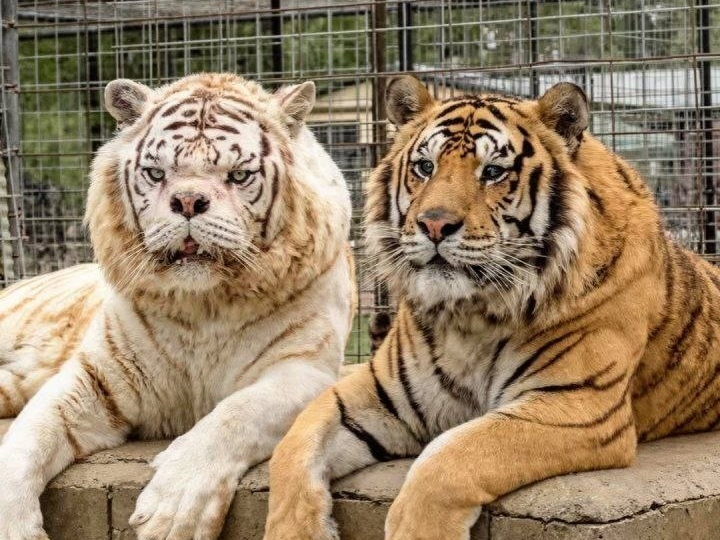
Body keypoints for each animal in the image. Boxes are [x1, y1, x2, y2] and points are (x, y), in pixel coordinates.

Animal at [0, 72, 354, 540]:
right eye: (156, 173)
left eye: (238, 175)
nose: (187, 201)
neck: (203, 306)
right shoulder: (94, 377)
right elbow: (26, 438)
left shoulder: (304, 369)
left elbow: (235, 415)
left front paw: (173, 510)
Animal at [263, 74, 720, 540]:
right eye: (425, 167)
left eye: (493, 172)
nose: (434, 224)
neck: (469, 316)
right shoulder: (376, 392)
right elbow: (293, 446)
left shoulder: (575, 405)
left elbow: (451, 456)